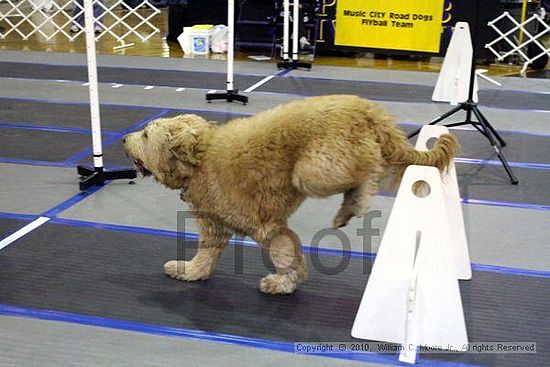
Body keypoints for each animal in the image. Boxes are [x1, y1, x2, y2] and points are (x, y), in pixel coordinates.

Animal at [123, 95, 460, 296]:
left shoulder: (266, 227)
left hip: (317, 169)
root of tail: (366, 107)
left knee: (369, 168)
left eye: (146, 134)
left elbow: (284, 255)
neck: (201, 157)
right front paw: (190, 272)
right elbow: (206, 255)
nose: (125, 139)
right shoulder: (215, 226)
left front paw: (283, 283)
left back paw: (355, 202)